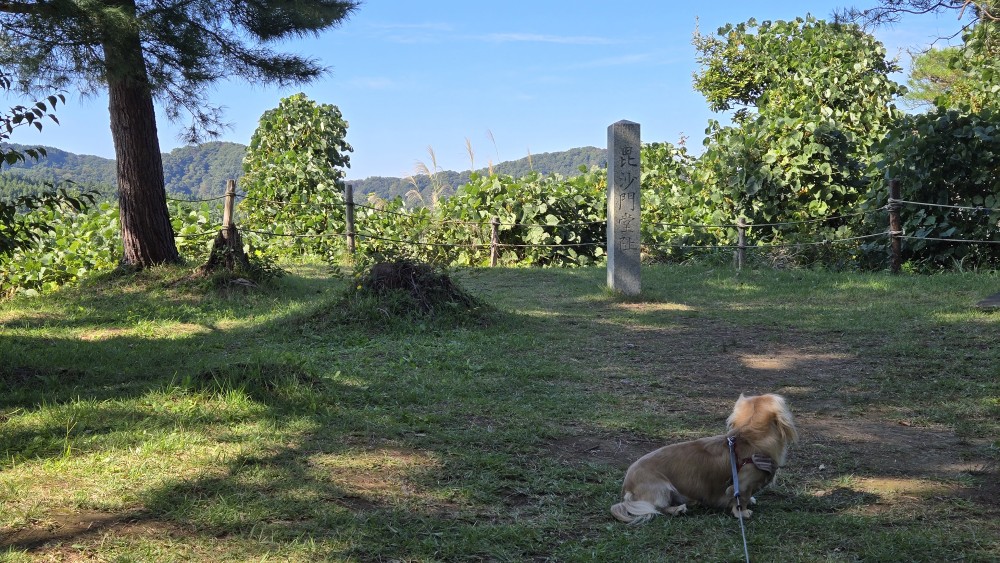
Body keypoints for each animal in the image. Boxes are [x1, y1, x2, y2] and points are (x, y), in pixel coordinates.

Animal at [608, 392, 796, 524]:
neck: (749, 439)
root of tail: (626, 486)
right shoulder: (742, 484)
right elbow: (741, 498)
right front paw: (743, 512)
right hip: (662, 489)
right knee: (659, 508)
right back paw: (678, 509)